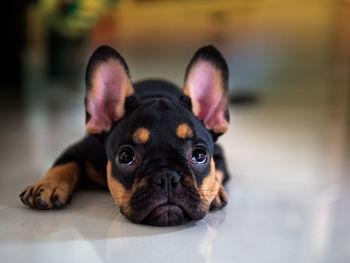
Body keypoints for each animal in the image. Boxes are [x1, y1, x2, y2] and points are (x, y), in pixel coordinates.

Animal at [20, 44, 231, 227]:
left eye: (199, 155)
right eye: (126, 157)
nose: (167, 177)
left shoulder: (219, 154)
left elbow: (217, 172)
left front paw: (216, 190)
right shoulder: (81, 148)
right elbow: (64, 163)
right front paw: (47, 184)